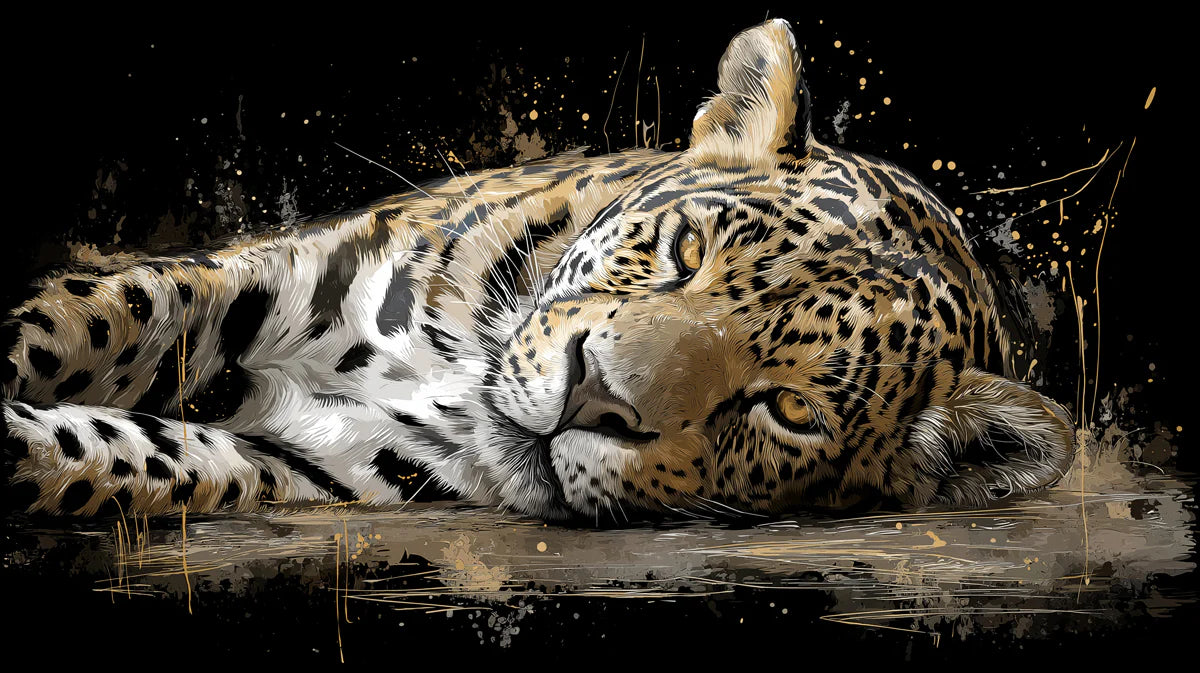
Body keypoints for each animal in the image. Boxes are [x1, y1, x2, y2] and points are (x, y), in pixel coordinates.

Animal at [0, 19, 1075, 522]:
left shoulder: (321, 460)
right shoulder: (272, 277)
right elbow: (90, 317)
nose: (591, 394)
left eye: (792, 409)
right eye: (686, 253)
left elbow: (108, 456)